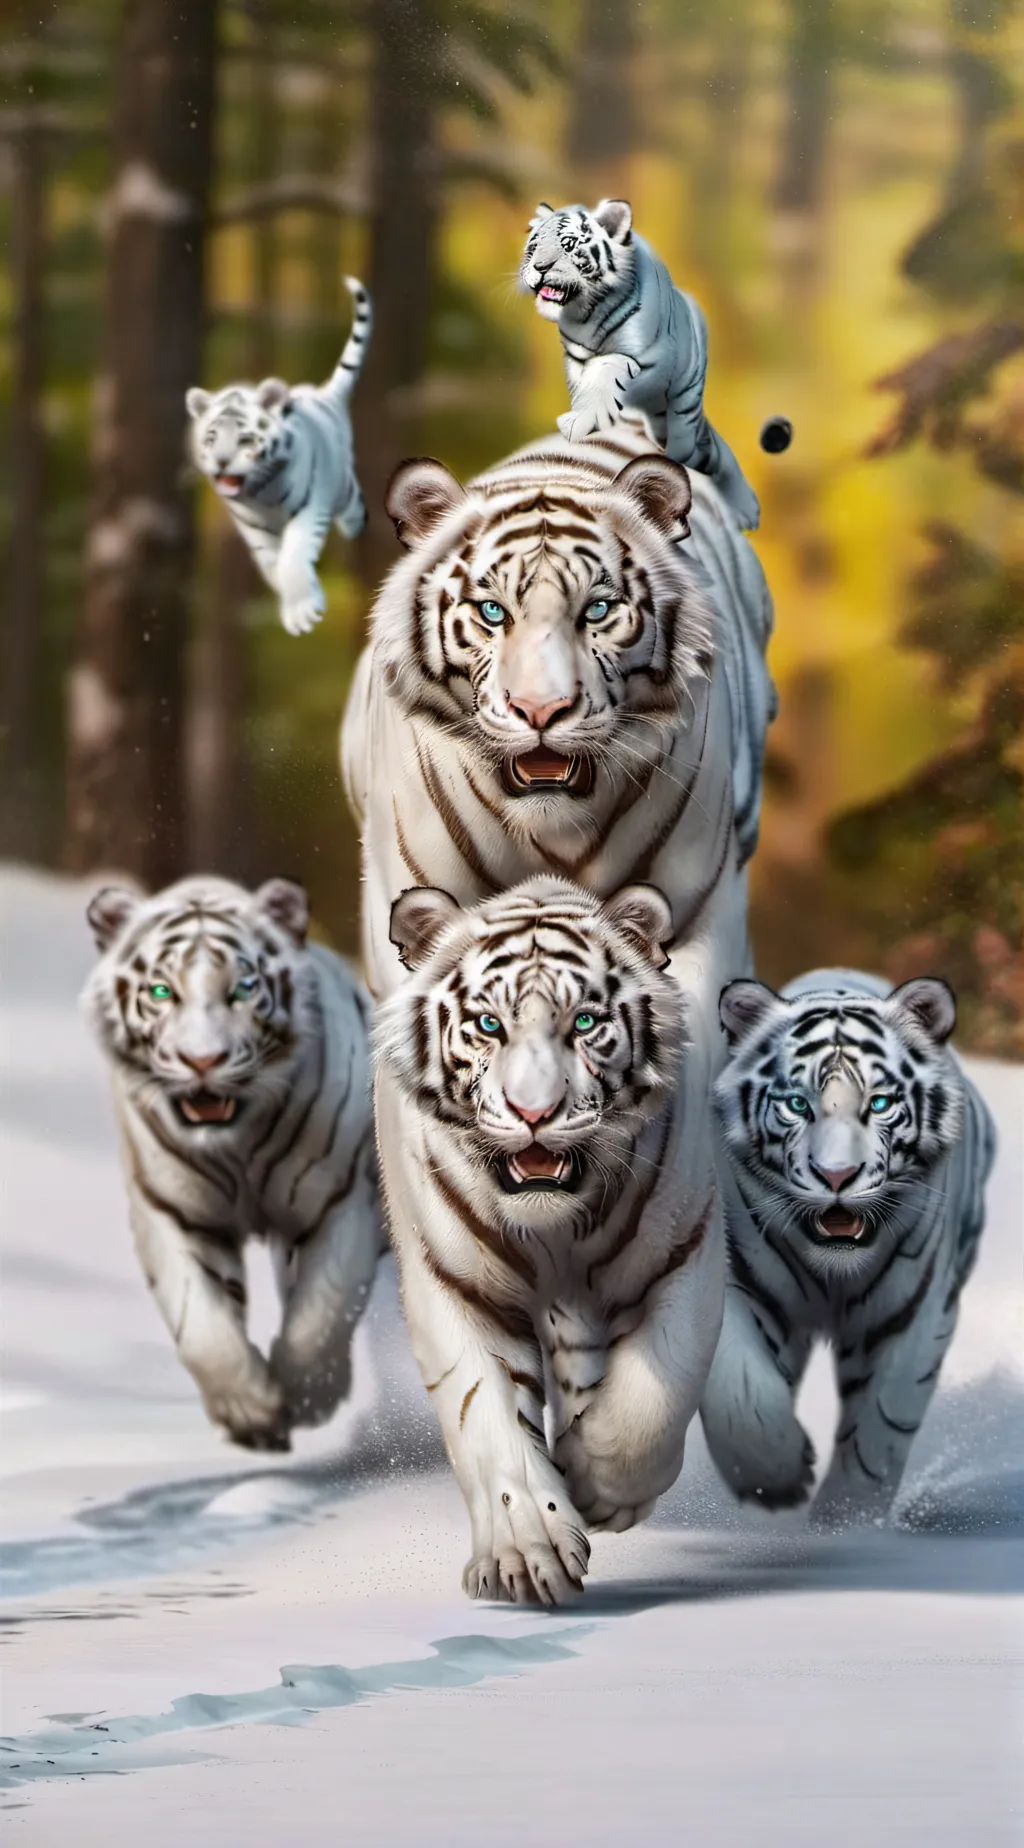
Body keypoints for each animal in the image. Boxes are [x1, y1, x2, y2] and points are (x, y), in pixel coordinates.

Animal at [83, 874, 383, 1451]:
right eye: (162, 992)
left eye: (243, 990)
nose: (203, 1061)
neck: (235, 1145)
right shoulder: (175, 1213)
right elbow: (202, 1324)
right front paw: (250, 1412)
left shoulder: (339, 1203)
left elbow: (323, 1310)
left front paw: (310, 1395)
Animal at [186, 275, 372, 636]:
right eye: (211, 437)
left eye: (244, 438)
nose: (222, 462)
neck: (260, 491)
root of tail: (320, 393)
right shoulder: (253, 528)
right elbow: (273, 565)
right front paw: (305, 600)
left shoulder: (309, 508)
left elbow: (293, 556)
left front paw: (303, 611)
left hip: (342, 487)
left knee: (355, 506)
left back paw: (356, 527)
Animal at [375, 875, 725, 1604]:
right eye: (489, 1026)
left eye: (584, 1024)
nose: (534, 1112)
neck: (554, 1230)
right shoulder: (458, 1286)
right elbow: (488, 1424)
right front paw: (526, 1554)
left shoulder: (685, 1252)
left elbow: (653, 1399)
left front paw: (594, 1483)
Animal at [519, 199, 760, 531]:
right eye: (534, 245)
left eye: (568, 244)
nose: (539, 268)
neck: (584, 313)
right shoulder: (576, 360)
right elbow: (584, 388)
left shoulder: (641, 358)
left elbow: (606, 371)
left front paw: (580, 422)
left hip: (685, 410)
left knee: (705, 448)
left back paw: (744, 507)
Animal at [700, 968, 996, 1524]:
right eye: (797, 1105)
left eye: (879, 1105)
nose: (836, 1176)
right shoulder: (736, 1284)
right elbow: (742, 1388)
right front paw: (774, 1479)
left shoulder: (914, 1314)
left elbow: (881, 1425)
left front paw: (846, 1523)